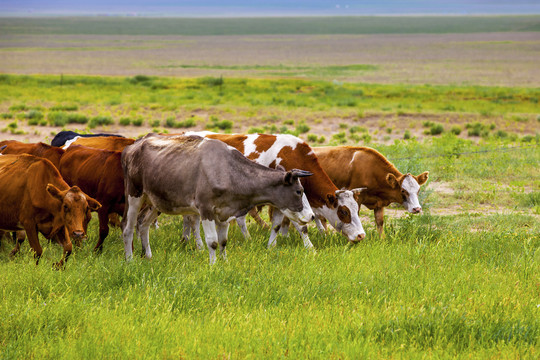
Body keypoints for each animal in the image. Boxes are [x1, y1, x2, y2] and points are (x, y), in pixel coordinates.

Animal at [121, 134, 316, 264]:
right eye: (299, 191)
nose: (312, 216)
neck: (228, 171)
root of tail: (133, 146)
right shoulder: (206, 209)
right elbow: (212, 241)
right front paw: (213, 266)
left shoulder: (226, 211)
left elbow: (223, 241)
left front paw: (225, 263)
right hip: (134, 194)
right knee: (128, 227)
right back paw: (129, 259)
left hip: (156, 201)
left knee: (143, 224)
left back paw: (148, 255)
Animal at [186, 132, 368, 248]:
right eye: (343, 212)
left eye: (357, 210)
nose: (361, 235)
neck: (292, 154)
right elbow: (300, 226)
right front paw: (310, 249)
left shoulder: (284, 201)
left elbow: (277, 224)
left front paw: (271, 246)